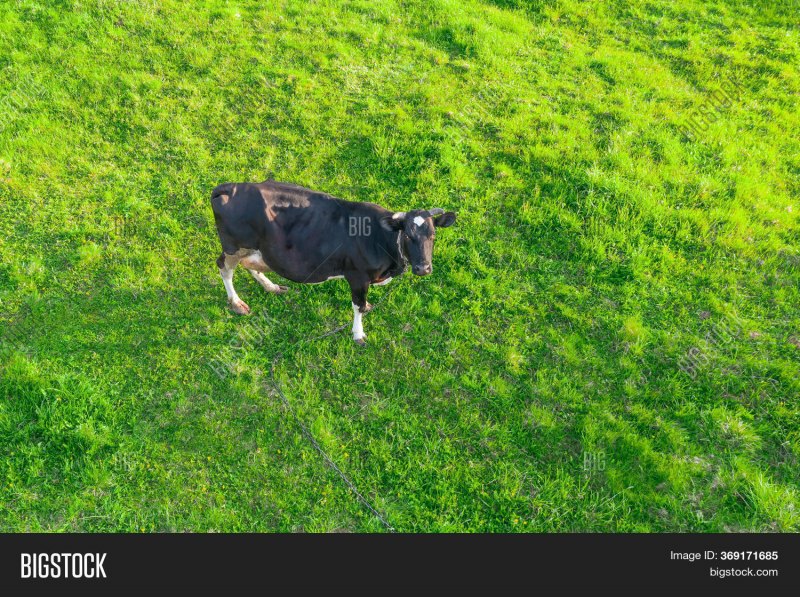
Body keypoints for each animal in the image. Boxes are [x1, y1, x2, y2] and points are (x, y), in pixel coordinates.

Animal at [209, 180, 456, 344]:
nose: (423, 268)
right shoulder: (357, 276)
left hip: (257, 249)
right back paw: (236, 303)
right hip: (234, 245)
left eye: (433, 235)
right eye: (408, 236)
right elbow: (357, 306)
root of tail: (228, 187)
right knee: (224, 267)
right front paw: (358, 334)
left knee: (249, 265)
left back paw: (271, 286)